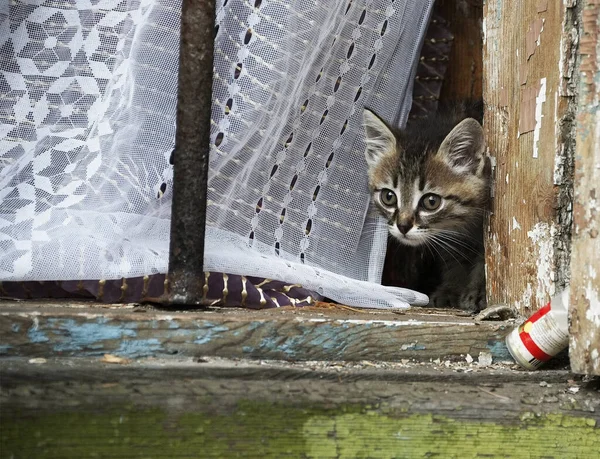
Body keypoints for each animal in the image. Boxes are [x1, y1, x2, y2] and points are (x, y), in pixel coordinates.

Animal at [364, 104, 490, 312]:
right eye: (388, 197)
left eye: (431, 202)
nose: (403, 226)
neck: (461, 225)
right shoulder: (449, 243)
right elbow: (453, 261)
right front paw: (450, 290)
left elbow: (484, 262)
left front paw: (480, 293)